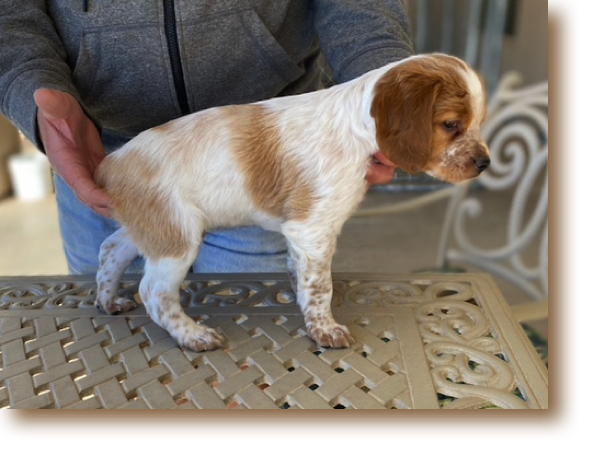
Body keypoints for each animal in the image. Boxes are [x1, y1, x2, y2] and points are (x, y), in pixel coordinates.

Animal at [95, 52, 488, 350]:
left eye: (479, 123)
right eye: (450, 124)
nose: (484, 163)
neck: (355, 130)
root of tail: (112, 164)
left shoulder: (301, 235)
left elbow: (300, 276)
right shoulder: (312, 228)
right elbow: (319, 286)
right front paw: (325, 329)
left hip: (149, 227)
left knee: (110, 249)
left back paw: (107, 300)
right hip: (177, 236)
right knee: (154, 292)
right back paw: (193, 335)